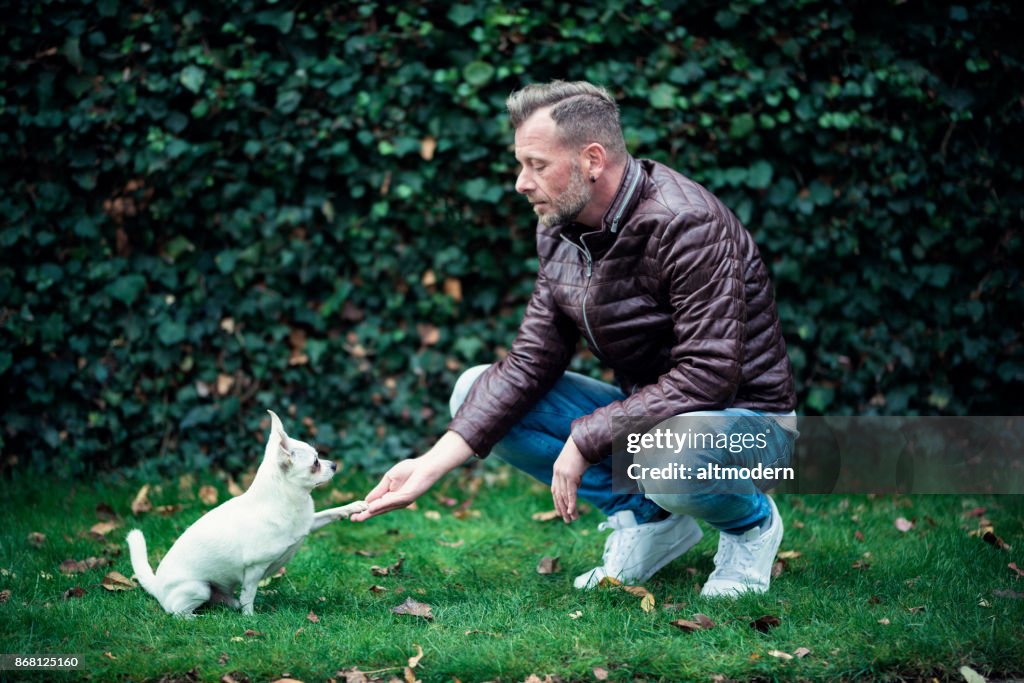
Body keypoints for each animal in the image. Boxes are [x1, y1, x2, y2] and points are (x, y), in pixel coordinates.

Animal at [126, 411, 368, 618]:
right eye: (315, 463)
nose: (334, 465)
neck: (289, 502)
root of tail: (157, 586)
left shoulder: (309, 523)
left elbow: (328, 513)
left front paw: (354, 506)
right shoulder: (254, 569)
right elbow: (249, 593)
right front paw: (250, 617)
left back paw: (230, 604)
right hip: (198, 588)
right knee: (176, 611)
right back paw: (196, 618)